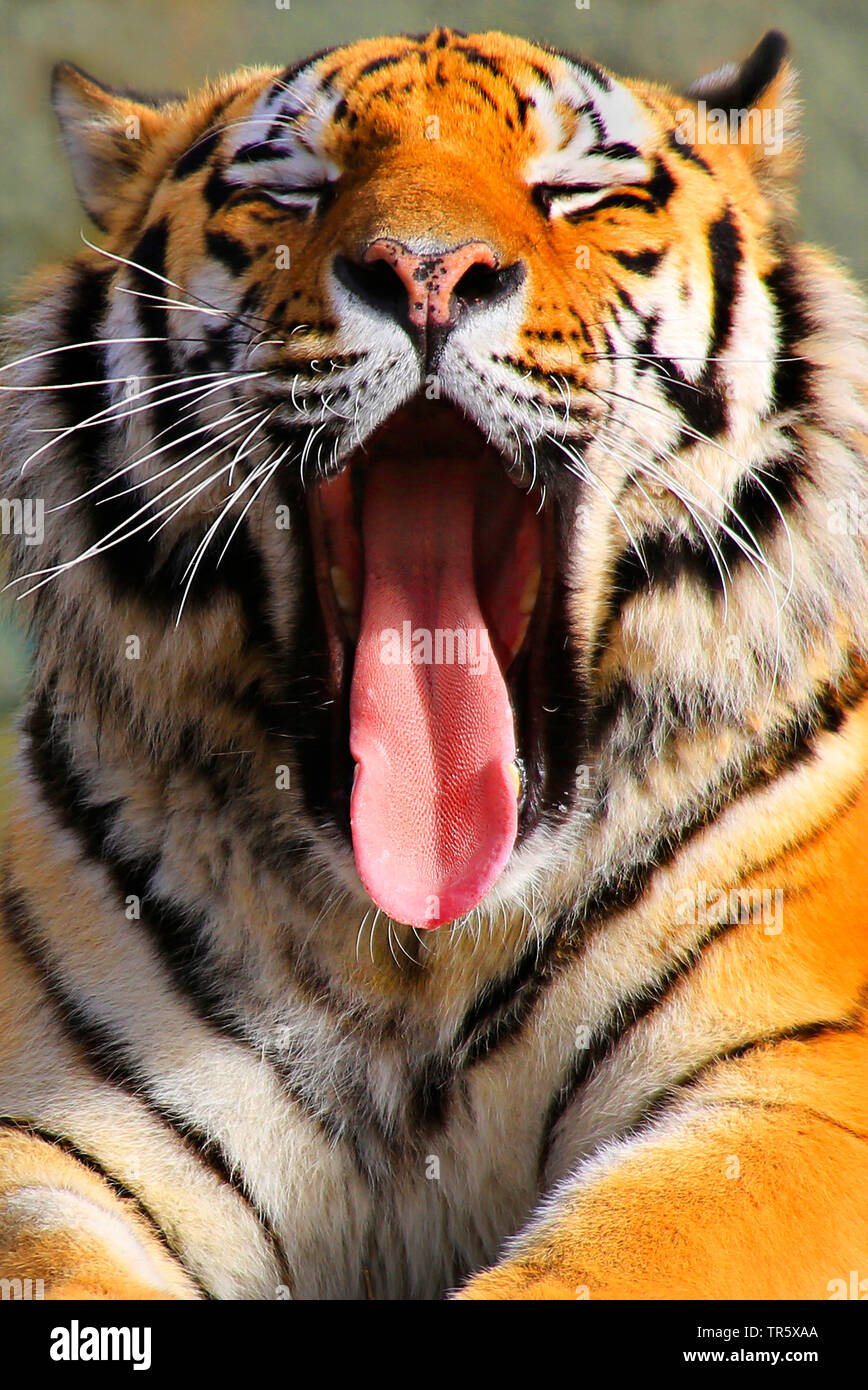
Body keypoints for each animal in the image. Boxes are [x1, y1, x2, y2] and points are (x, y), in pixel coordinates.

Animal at [0, 24, 862, 1301]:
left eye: (578, 192)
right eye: (291, 190)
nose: (426, 273)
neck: (418, 944)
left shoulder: (791, 1093)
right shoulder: (55, 1129)